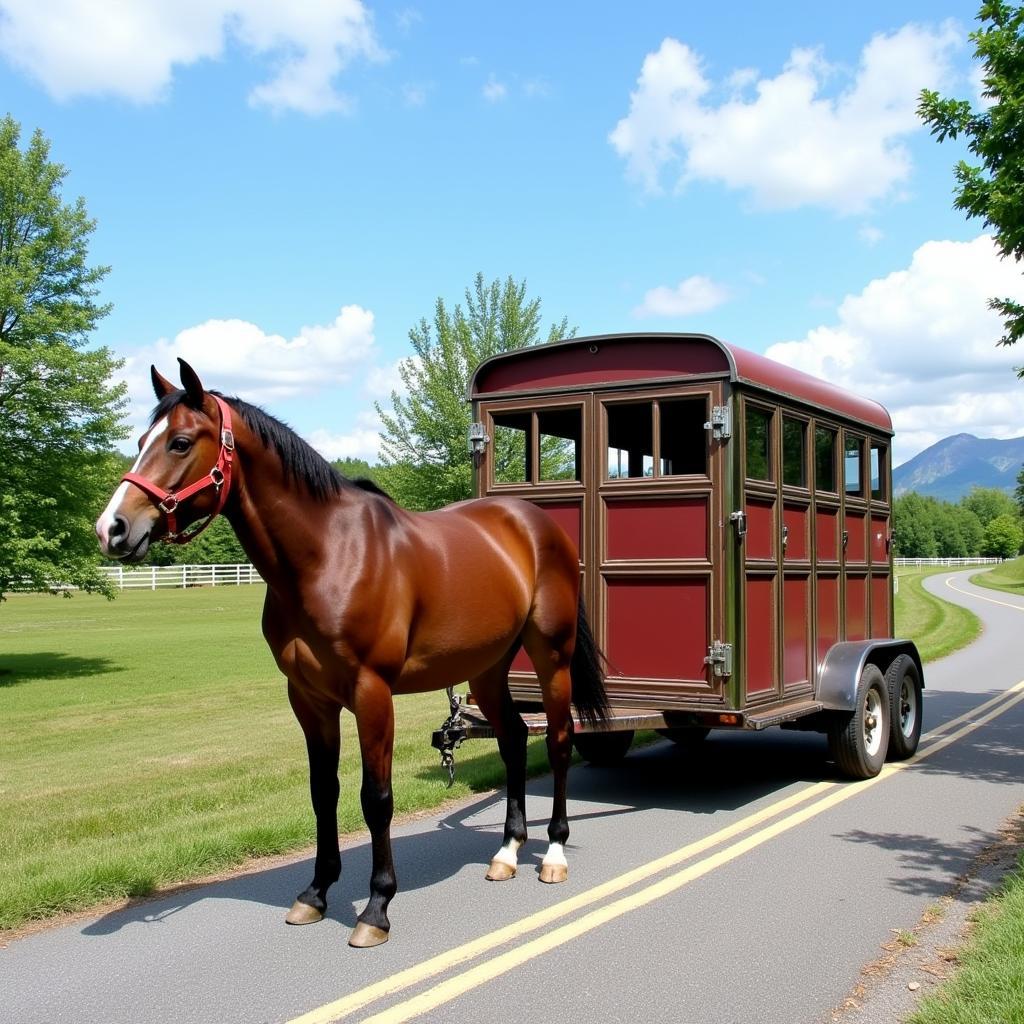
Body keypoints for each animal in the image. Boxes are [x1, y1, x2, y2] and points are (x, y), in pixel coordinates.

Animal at [94, 362, 606, 950]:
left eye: (179, 443)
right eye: (140, 443)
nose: (111, 529)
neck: (328, 555)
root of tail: (535, 523)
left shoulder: (372, 692)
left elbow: (375, 797)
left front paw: (376, 908)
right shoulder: (309, 698)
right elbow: (324, 792)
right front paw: (315, 894)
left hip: (552, 657)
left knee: (561, 740)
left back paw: (554, 854)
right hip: (486, 668)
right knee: (516, 740)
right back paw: (506, 852)